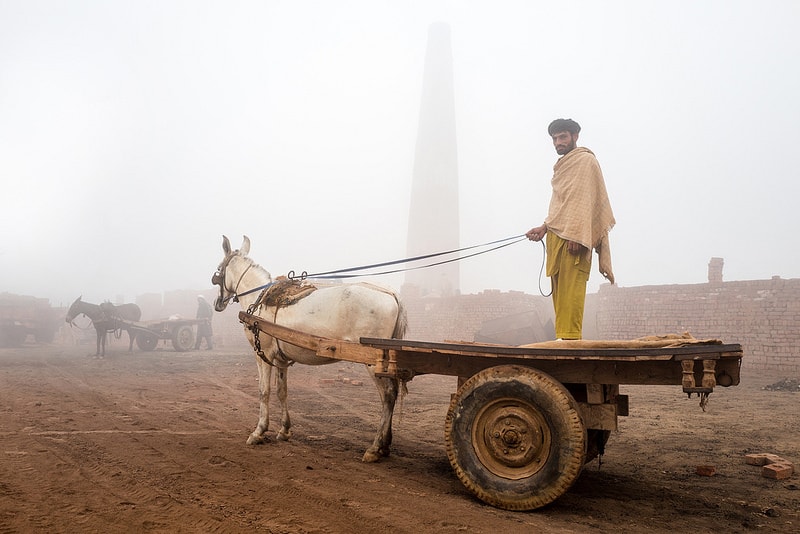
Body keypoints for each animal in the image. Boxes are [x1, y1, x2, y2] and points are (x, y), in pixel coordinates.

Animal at [209, 237, 410, 462]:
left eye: (219, 270)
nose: (218, 303)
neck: (259, 298)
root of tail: (391, 294)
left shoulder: (263, 355)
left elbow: (264, 391)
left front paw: (259, 431)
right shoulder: (280, 359)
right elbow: (282, 391)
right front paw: (284, 430)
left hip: (373, 362)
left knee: (388, 396)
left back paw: (376, 447)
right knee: (392, 393)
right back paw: (385, 444)